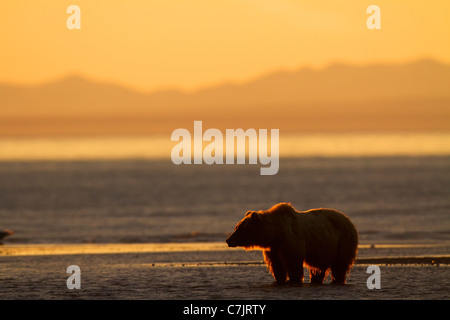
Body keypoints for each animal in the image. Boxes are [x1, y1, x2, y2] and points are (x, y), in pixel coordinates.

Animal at [225, 204, 358, 284]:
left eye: (242, 228)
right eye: (237, 226)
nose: (228, 240)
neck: (276, 232)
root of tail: (348, 220)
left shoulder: (290, 241)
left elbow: (293, 263)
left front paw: (294, 279)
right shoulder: (274, 247)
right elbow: (276, 265)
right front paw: (279, 279)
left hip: (342, 242)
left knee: (339, 266)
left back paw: (337, 280)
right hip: (323, 248)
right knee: (318, 268)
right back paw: (316, 280)